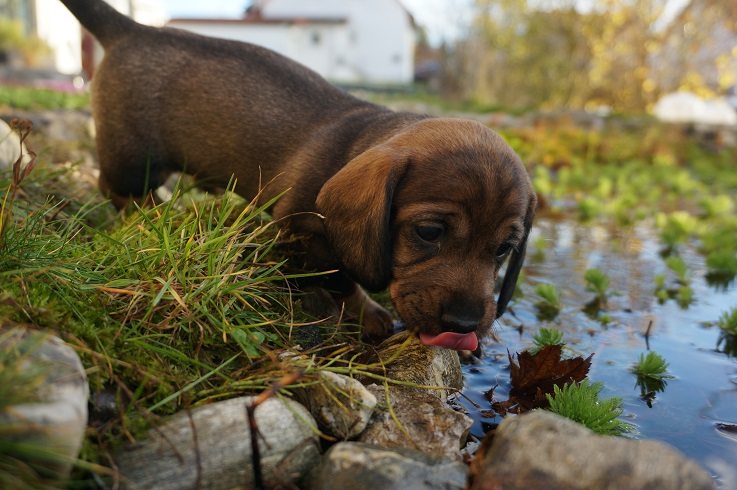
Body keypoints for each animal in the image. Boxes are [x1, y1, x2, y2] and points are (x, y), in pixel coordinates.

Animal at [60, 0, 532, 352]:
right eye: (429, 232)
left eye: (503, 249)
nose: (465, 325)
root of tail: (132, 30)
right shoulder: (305, 235)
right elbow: (340, 279)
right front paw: (366, 312)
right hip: (133, 159)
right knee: (118, 190)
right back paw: (160, 215)